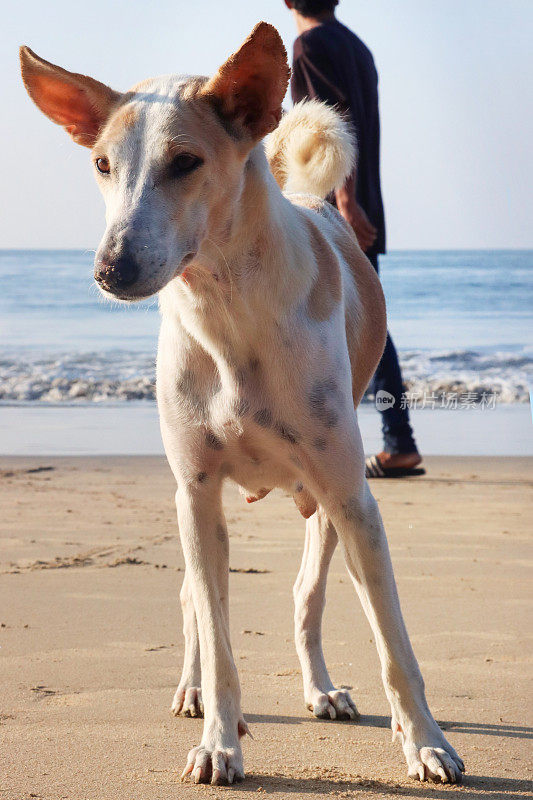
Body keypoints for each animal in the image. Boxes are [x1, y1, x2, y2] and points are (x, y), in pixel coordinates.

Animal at [19, 23, 462, 788]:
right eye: (101, 164)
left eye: (185, 161)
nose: (110, 270)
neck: (228, 312)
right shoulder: (196, 494)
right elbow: (218, 637)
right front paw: (219, 743)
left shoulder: (352, 500)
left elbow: (394, 647)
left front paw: (426, 743)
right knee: (195, 605)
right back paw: (192, 689)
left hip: (327, 506)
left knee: (306, 596)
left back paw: (322, 689)